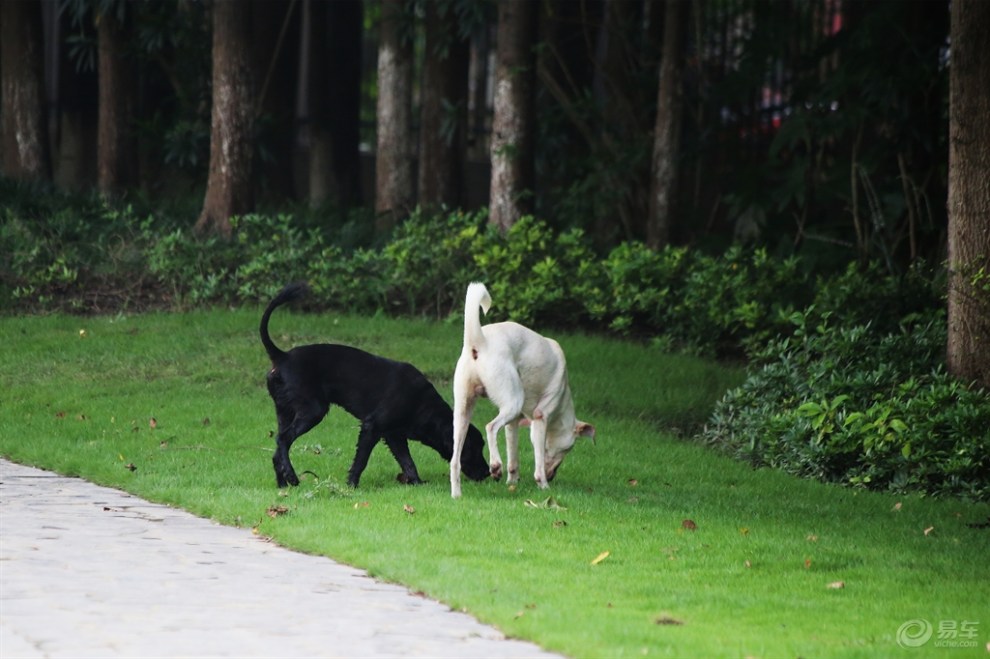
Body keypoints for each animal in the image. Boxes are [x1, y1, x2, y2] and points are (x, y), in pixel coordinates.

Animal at [262, 282, 490, 488]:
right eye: (475, 448)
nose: (488, 473)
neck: (422, 404)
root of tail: (282, 357)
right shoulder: (372, 427)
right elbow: (362, 460)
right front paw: (352, 485)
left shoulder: (394, 435)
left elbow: (407, 462)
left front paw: (416, 482)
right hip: (312, 410)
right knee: (283, 440)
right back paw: (292, 478)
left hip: (285, 412)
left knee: (277, 450)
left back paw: (283, 484)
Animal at [452, 282, 596, 498]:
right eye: (568, 449)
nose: (553, 477)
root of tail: (478, 342)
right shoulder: (540, 419)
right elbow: (538, 464)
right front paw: (544, 486)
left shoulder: (513, 423)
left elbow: (513, 458)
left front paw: (513, 483)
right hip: (512, 401)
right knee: (490, 427)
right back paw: (495, 465)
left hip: (463, 412)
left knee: (455, 461)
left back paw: (457, 495)